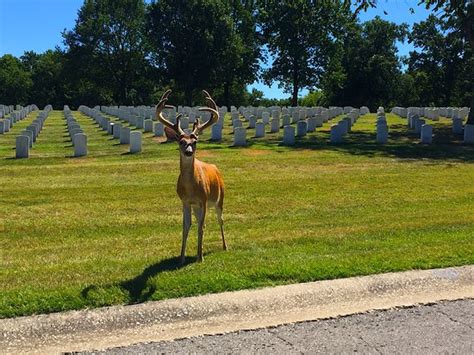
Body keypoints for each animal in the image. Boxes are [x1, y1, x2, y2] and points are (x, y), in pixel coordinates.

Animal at [156, 90, 228, 266]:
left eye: (194, 142)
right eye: (181, 141)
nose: (188, 152)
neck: (191, 188)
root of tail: (217, 169)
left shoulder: (203, 199)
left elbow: (201, 226)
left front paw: (200, 257)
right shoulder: (185, 201)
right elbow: (186, 226)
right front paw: (181, 258)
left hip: (220, 198)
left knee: (220, 219)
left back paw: (224, 246)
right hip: (197, 207)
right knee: (202, 223)